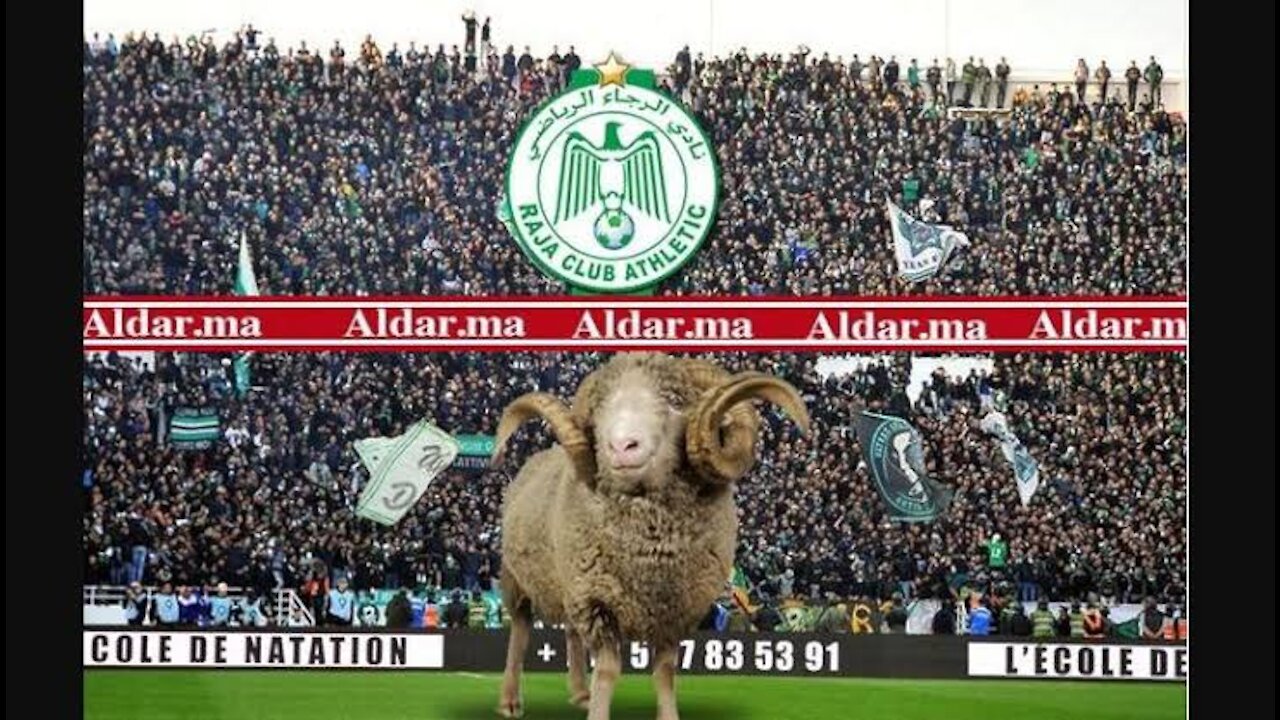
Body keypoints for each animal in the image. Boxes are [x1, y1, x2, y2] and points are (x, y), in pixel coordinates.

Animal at [488, 353, 808, 717]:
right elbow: (608, 670)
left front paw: (667, 715)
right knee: (520, 632)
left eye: (674, 401)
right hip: (517, 580)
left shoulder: (676, 611)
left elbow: (665, 671)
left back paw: (580, 694)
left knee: (570, 632)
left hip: (568, 582)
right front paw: (598, 713)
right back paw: (510, 701)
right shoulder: (598, 602)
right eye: (600, 409)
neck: (650, 548)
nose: (621, 445)